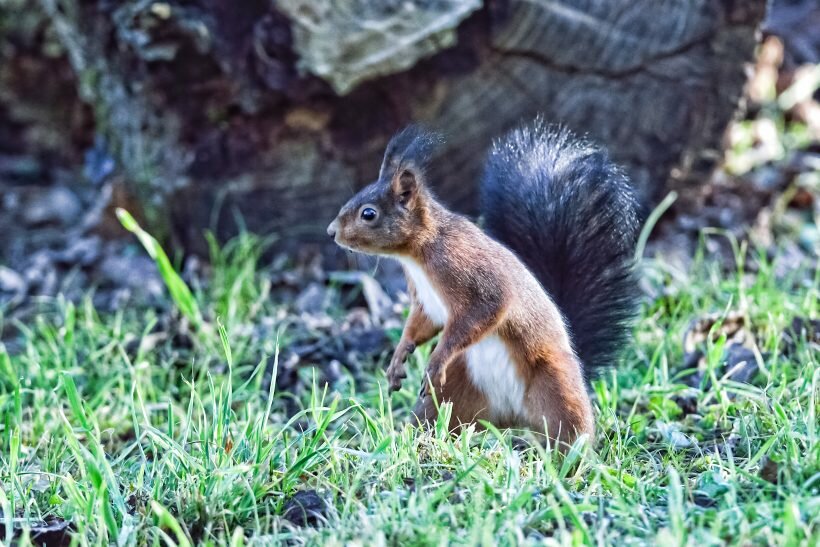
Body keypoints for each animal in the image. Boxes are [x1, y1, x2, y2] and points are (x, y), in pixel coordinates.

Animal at [326, 117, 640, 448]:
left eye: (368, 214)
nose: (331, 232)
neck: (418, 253)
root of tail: (512, 418)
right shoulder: (426, 301)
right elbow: (421, 324)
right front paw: (398, 358)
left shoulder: (470, 272)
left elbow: (485, 311)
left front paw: (437, 359)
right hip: (454, 396)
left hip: (555, 388)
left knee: (569, 431)